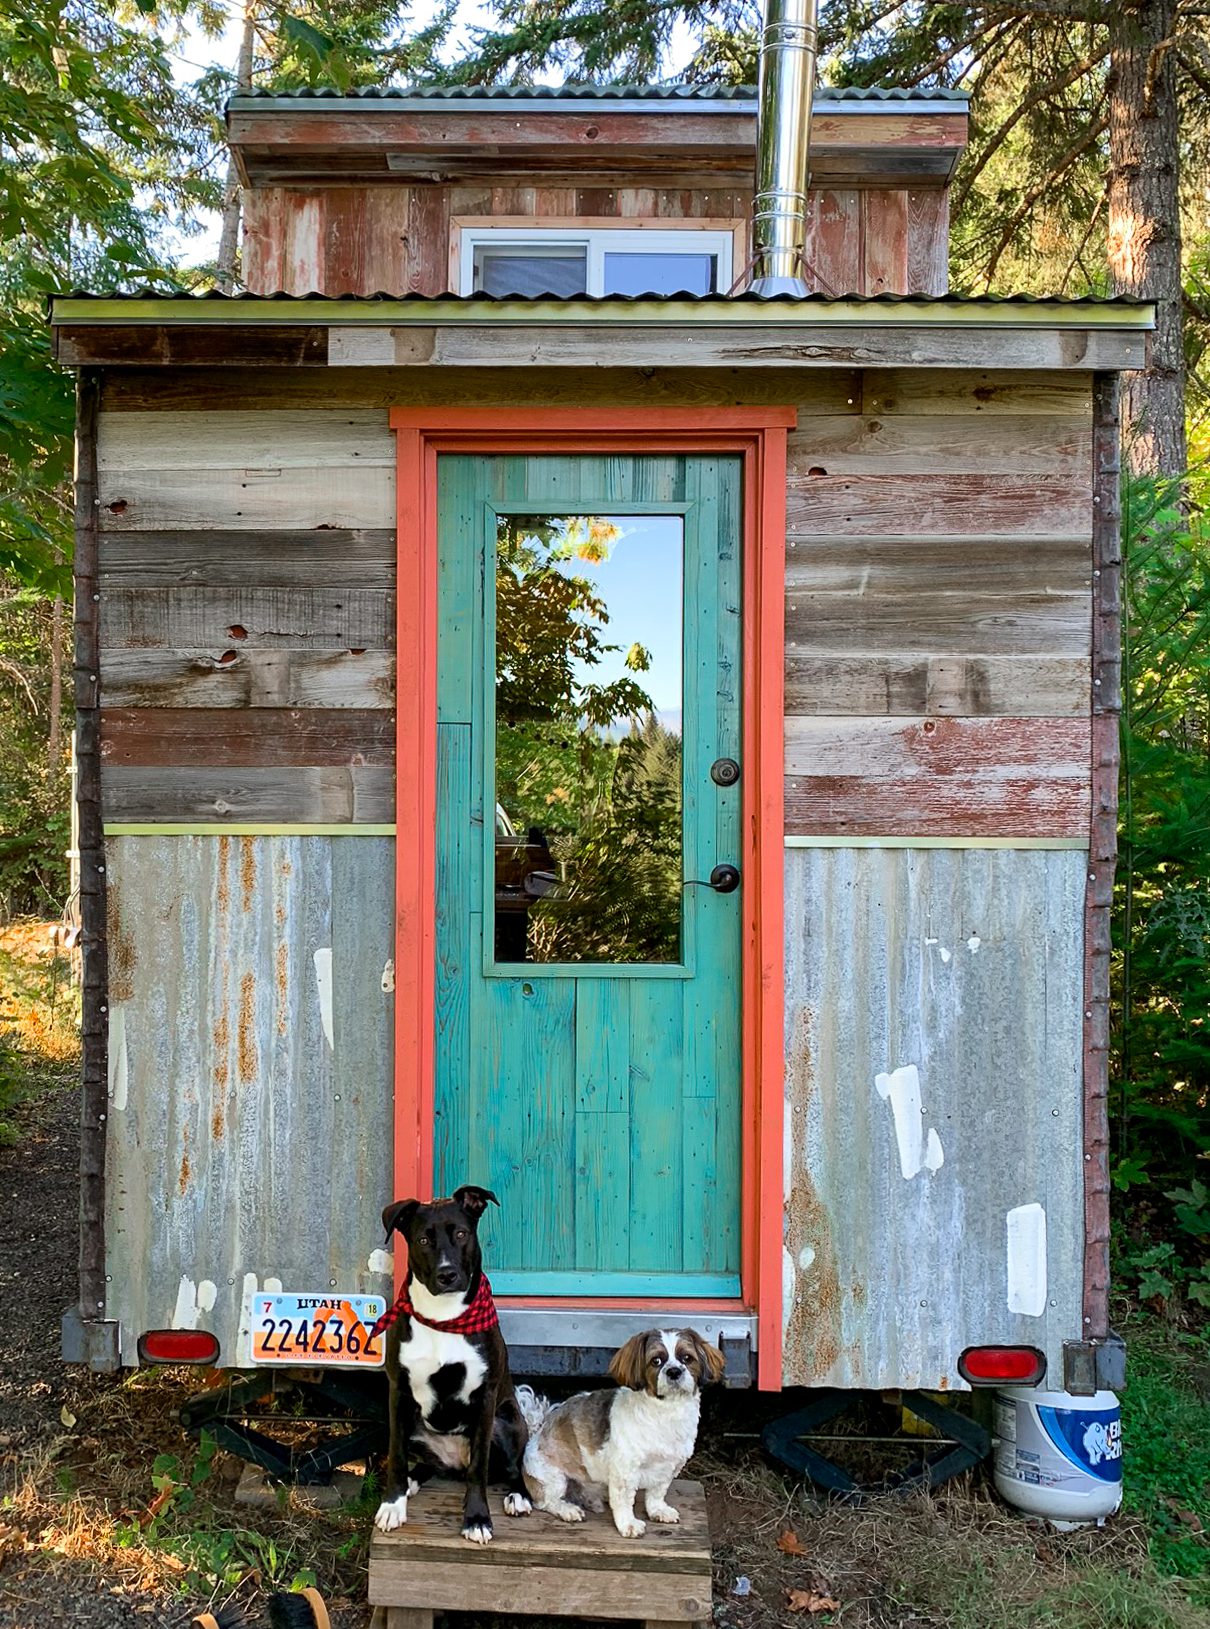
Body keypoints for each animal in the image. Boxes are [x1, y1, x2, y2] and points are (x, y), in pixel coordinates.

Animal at [371, 1185, 530, 1537]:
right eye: (423, 1240)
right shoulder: (397, 1391)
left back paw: (518, 1496)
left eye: (461, 1233)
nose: (447, 1275)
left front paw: (477, 1518)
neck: (444, 1318)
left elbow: (479, 1468)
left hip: (508, 1422)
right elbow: (396, 1455)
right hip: (412, 1422)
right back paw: (413, 1481)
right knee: (424, 1463)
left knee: (512, 1468)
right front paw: (392, 1504)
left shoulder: (485, 1398)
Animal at [514, 1322, 723, 1537]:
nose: (674, 1371)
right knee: (546, 1501)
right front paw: (628, 1524)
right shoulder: (625, 1470)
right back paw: (567, 1509)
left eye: (687, 1358)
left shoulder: (668, 1467)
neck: (665, 1414)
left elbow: (657, 1493)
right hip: (552, 1478)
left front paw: (658, 1510)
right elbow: (623, 1500)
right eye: (656, 1361)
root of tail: (537, 1434)